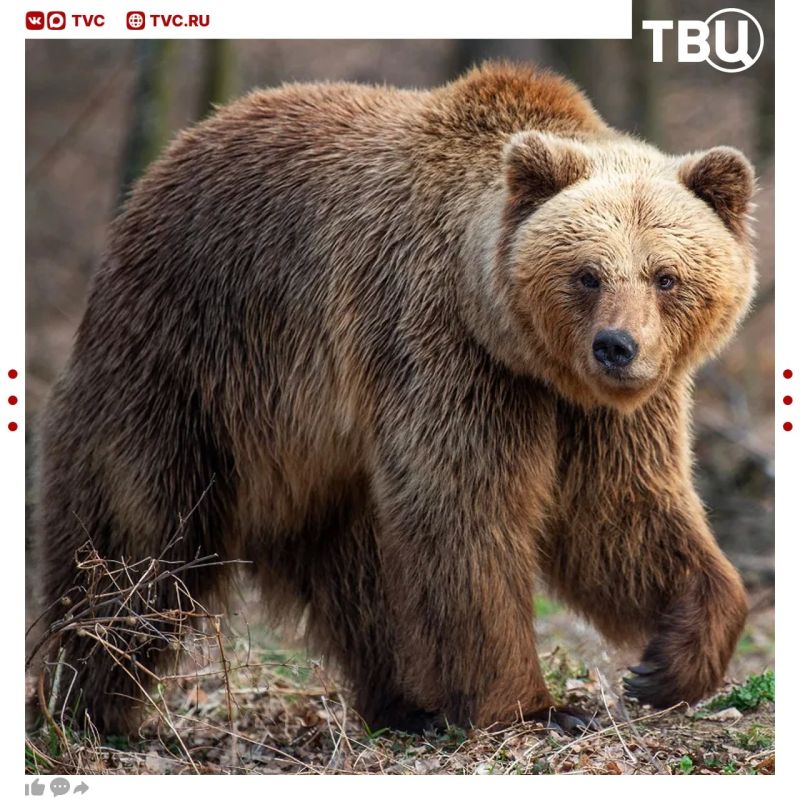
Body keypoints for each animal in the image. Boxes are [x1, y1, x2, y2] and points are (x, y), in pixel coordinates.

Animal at [34, 62, 755, 735]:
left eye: (665, 276)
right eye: (587, 274)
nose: (616, 346)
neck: (513, 341)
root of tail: (156, 175)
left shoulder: (593, 410)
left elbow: (620, 514)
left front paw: (667, 662)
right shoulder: (440, 347)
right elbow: (465, 513)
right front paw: (537, 706)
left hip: (315, 449)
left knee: (358, 574)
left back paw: (407, 702)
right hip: (182, 368)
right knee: (136, 543)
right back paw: (83, 704)